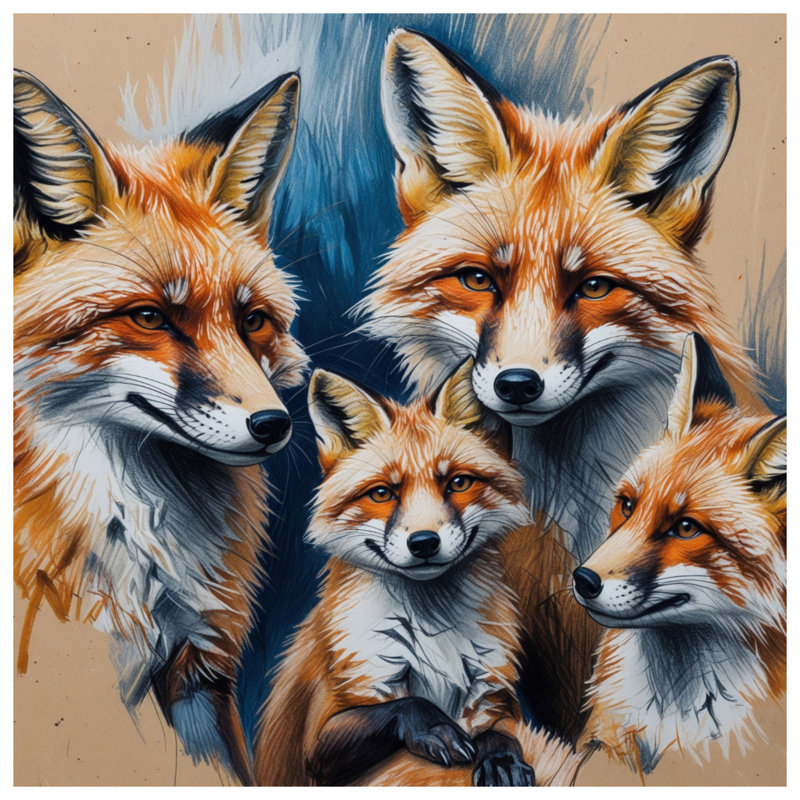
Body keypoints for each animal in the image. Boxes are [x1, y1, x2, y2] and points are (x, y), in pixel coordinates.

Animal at [253, 360, 548, 786]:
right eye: (382, 493)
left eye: (457, 482)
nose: (424, 543)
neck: (435, 635)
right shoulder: (319, 743)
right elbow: (406, 706)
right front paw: (436, 729)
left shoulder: (497, 697)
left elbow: (500, 733)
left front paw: (502, 761)